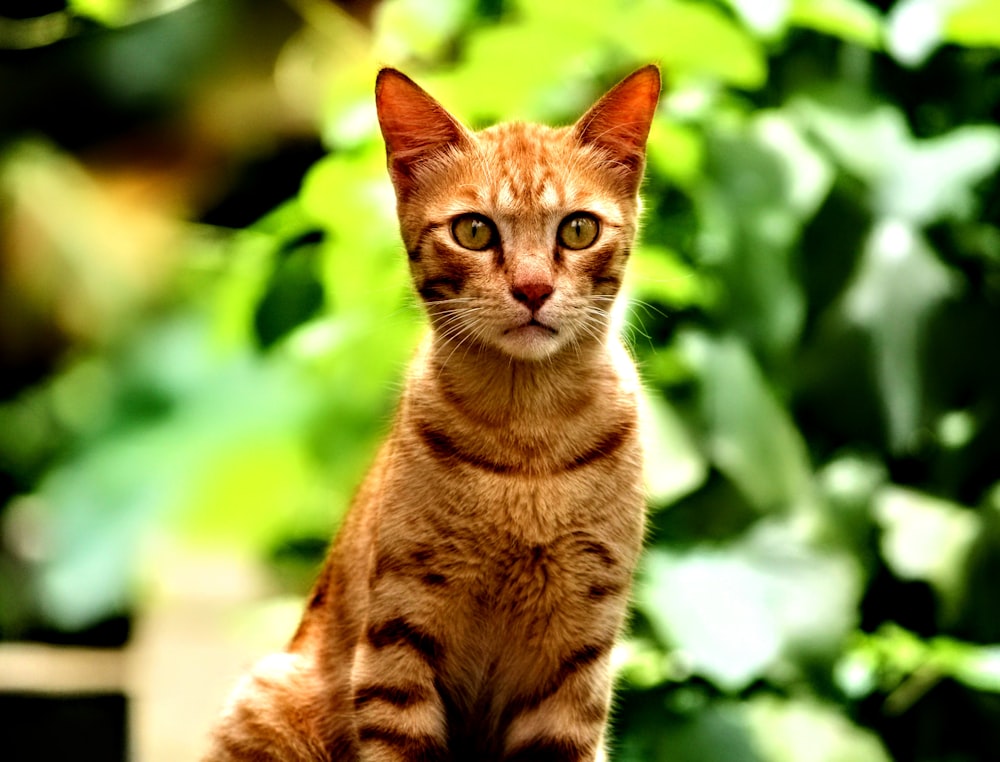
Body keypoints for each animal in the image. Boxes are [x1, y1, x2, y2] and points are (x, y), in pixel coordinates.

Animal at [204, 63, 660, 760]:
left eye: (577, 229)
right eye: (474, 230)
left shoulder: (574, 664)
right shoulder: (400, 643)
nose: (533, 289)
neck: (528, 439)